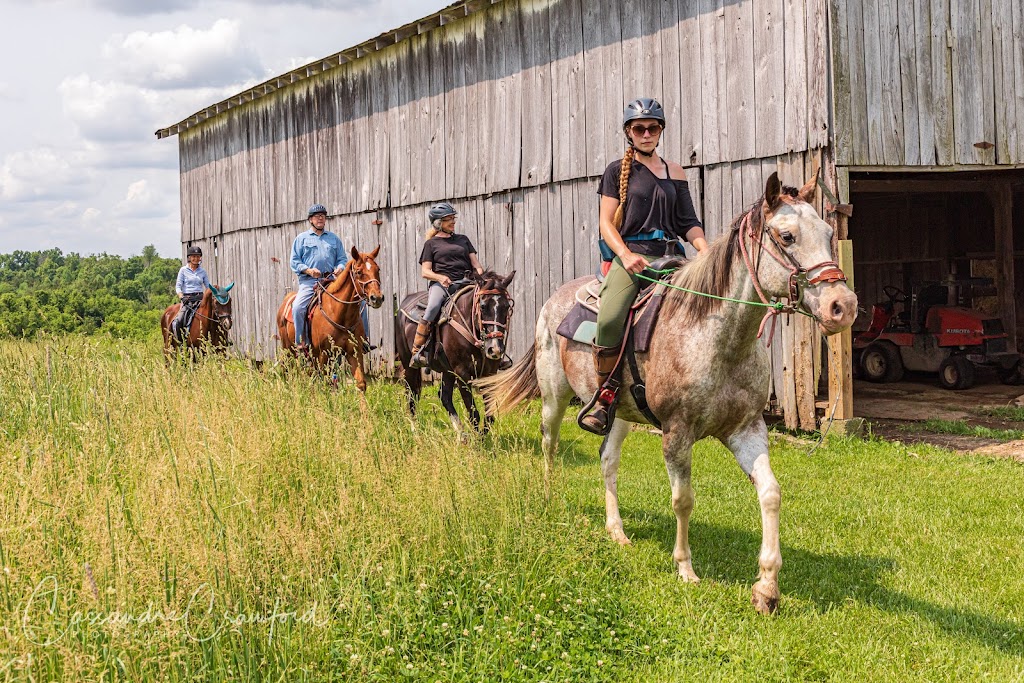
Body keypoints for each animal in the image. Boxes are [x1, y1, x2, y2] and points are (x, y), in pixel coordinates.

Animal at [276, 248, 385, 393]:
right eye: (359, 272)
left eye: (377, 269)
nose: (377, 298)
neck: (340, 314)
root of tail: (285, 301)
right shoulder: (323, 354)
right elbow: (325, 384)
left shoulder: (354, 352)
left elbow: (360, 384)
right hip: (288, 349)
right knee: (287, 370)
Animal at [395, 270, 516, 436]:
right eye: (483, 306)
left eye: (506, 306)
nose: (495, 349)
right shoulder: (462, 373)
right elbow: (474, 414)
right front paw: (477, 441)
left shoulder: (489, 373)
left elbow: (490, 415)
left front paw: (482, 437)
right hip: (409, 365)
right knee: (412, 393)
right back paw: (415, 431)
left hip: (447, 370)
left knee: (444, 396)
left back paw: (461, 434)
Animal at [479, 175, 856, 614]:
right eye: (787, 236)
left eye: (829, 233)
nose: (842, 306)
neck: (717, 336)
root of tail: (555, 299)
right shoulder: (677, 433)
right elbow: (684, 500)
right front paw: (686, 568)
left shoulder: (746, 430)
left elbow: (771, 493)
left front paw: (766, 587)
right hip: (554, 398)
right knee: (550, 446)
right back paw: (548, 498)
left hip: (619, 413)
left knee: (607, 460)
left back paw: (617, 531)